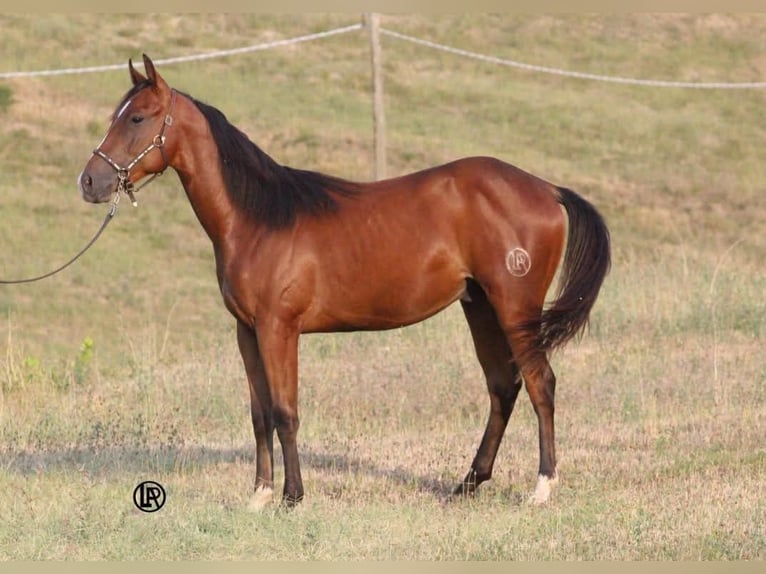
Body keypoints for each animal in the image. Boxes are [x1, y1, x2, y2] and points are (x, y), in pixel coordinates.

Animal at [78, 55, 610, 508]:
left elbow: (284, 411)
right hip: (479, 305)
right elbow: (258, 414)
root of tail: (546, 189)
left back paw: (542, 488)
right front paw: (259, 495)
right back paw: (468, 484)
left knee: (541, 383)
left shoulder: (279, 329)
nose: (89, 182)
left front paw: (292, 497)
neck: (260, 219)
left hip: (515, 307)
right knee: (503, 386)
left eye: (138, 118)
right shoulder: (247, 331)